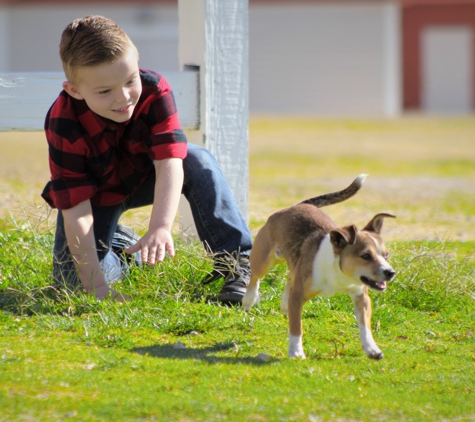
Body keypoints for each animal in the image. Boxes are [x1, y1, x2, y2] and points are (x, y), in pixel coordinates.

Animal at [244, 175, 396, 360]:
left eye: (386, 255)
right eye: (366, 256)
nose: (390, 273)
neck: (339, 273)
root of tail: (295, 206)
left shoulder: (362, 297)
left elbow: (365, 326)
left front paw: (372, 349)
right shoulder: (299, 295)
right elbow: (296, 327)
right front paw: (296, 352)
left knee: (291, 276)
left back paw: (285, 303)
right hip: (265, 259)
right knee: (256, 276)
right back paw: (249, 299)